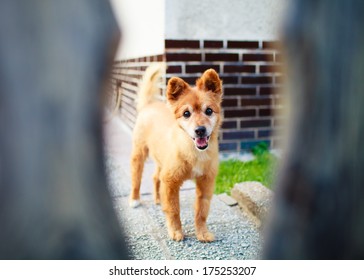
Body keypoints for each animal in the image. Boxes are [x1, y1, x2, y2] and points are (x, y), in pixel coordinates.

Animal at [129, 62, 223, 242]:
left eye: (209, 111)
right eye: (186, 113)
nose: (200, 130)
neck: (193, 152)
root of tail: (149, 104)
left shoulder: (206, 182)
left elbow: (202, 211)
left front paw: (202, 232)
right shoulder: (171, 181)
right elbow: (173, 210)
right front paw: (175, 231)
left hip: (161, 161)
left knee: (155, 177)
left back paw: (158, 199)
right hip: (139, 154)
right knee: (136, 179)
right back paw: (135, 199)